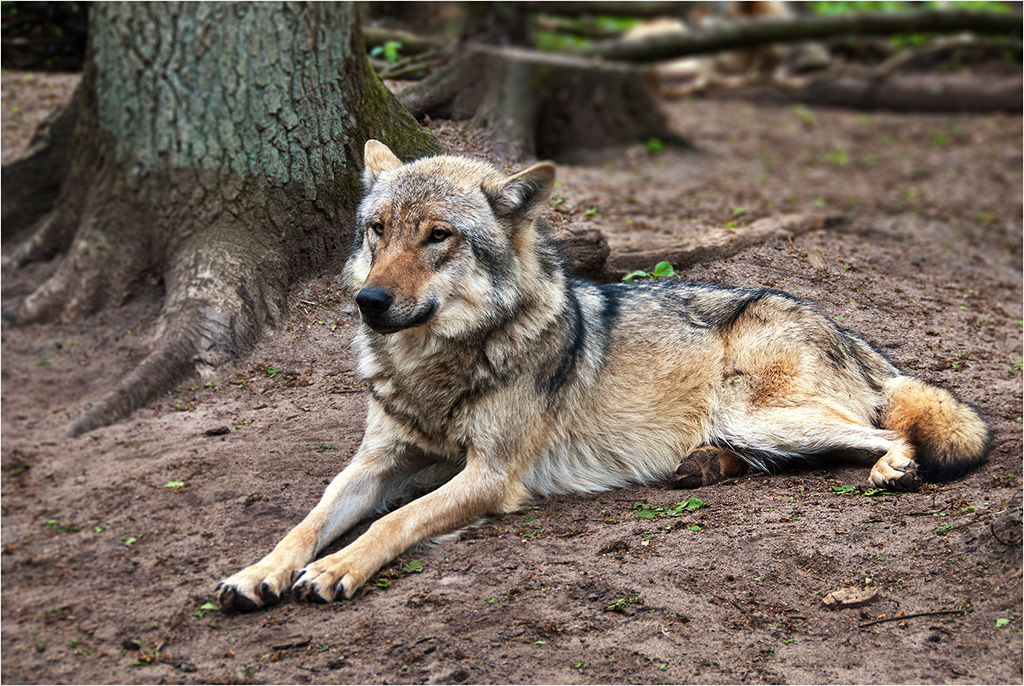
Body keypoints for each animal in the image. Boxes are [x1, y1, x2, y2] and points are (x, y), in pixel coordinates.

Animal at [214, 139, 983, 614]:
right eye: (378, 229)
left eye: (439, 236)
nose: (369, 302)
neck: (433, 366)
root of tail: (845, 327)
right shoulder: (376, 460)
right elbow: (307, 522)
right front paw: (257, 572)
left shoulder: (490, 474)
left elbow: (393, 522)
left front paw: (335, 568)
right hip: (756, 427)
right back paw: (703, 466)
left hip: (761, 416)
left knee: (886, 432)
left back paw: (891, 470)